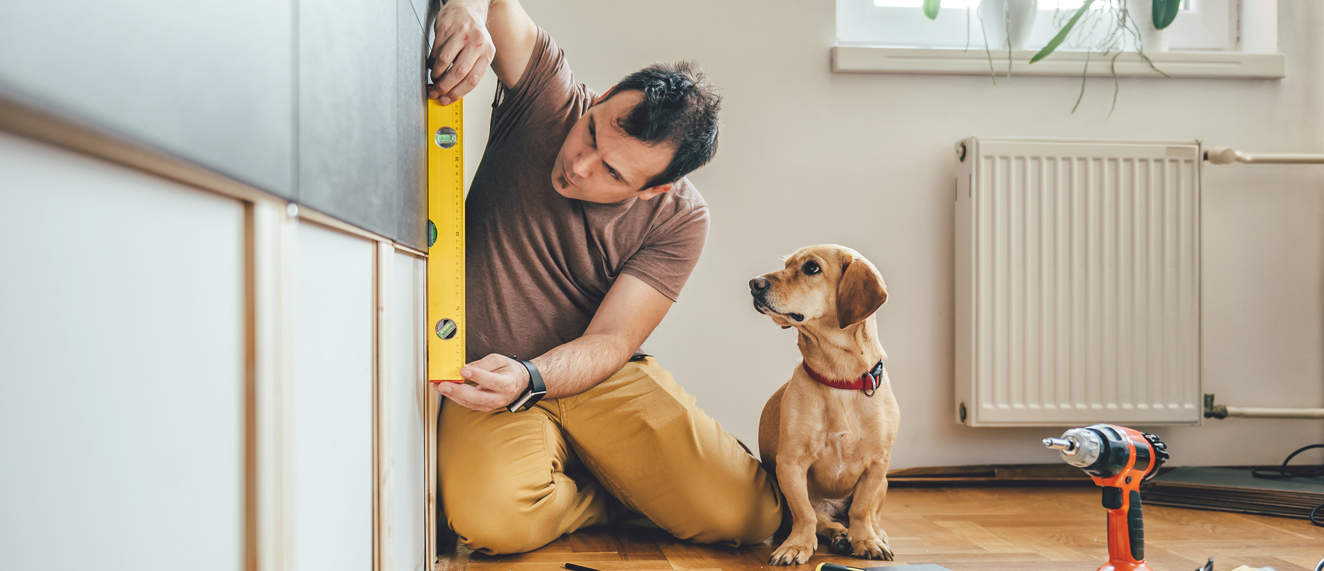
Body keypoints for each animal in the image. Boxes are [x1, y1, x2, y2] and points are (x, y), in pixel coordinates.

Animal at [746, 243, 900, 564]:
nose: (754, 283)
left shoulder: (877, 464)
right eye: (787, 265)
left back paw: (871, 534)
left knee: (867, 515)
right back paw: (839, 535)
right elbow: (805, 514)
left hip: (884, 483)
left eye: (811, 268)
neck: (839, 379)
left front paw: (865, 540)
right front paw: (796, 546)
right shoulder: (791, 464)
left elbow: (862, 509)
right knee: (823, 520)